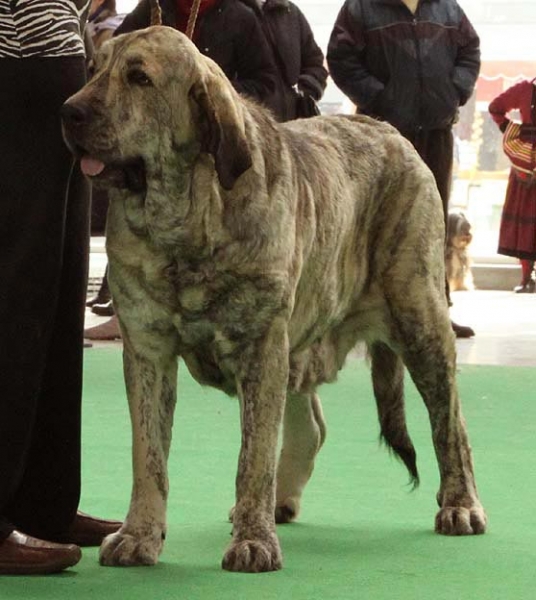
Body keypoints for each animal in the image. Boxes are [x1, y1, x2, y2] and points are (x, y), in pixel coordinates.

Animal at [60, 28, 488, 572]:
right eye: (93, 69)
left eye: (139, 77)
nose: (69, 111)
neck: (187, 217)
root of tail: (389, 130)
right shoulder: (148, 351)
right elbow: (148, 455)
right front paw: (139, 535)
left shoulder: (261, 344)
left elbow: (254, 456)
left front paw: (253, 541)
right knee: (312, 424)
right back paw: (281, 501)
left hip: (420, 319)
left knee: (450, 423)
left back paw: (460, 505)